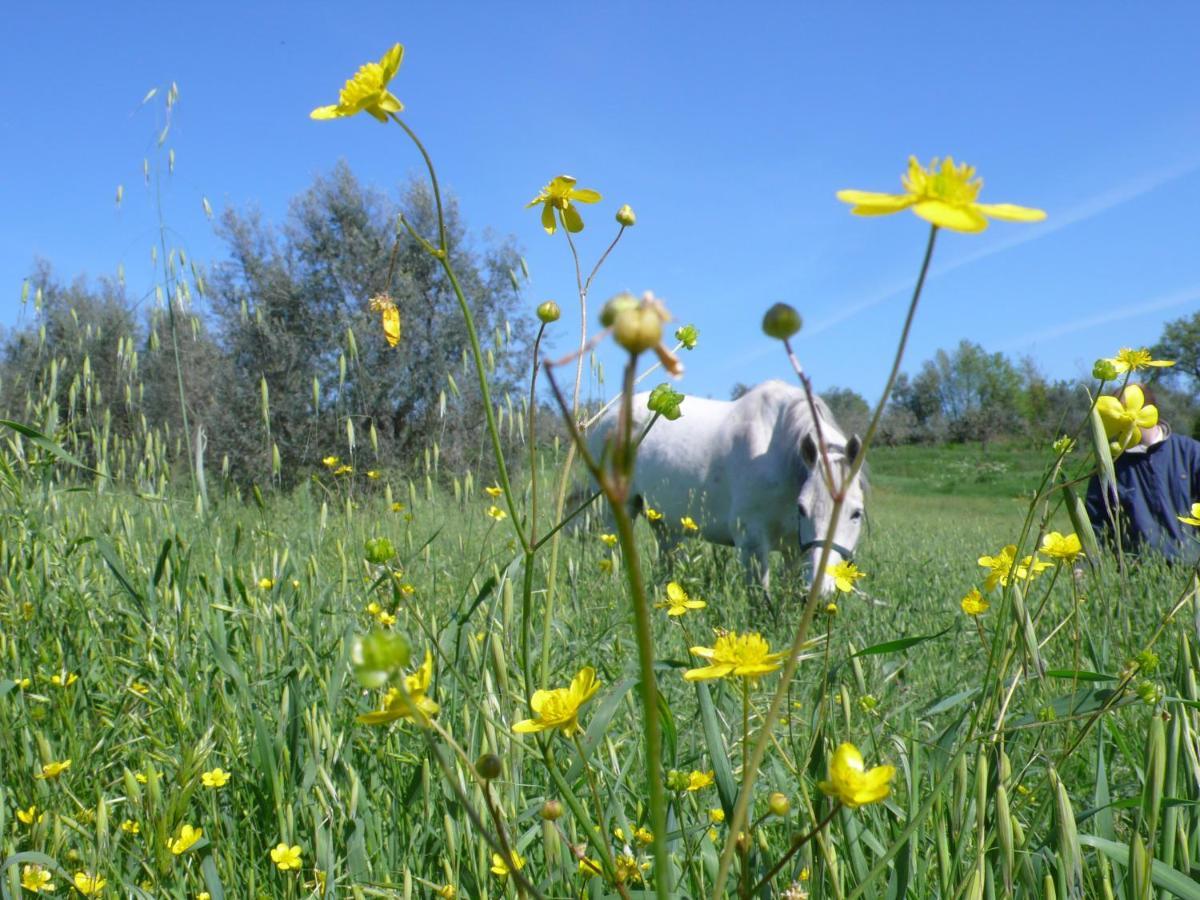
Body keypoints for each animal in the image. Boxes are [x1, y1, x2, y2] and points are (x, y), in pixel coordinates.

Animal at [588, 381, 864, 600]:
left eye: (856, 513)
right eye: (803, 509)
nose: (821, 592)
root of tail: (609, 415)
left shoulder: (795, 548)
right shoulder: (751, 542)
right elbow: (759, 599)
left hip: (664, 522)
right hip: (616, 509)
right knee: (612, 550)